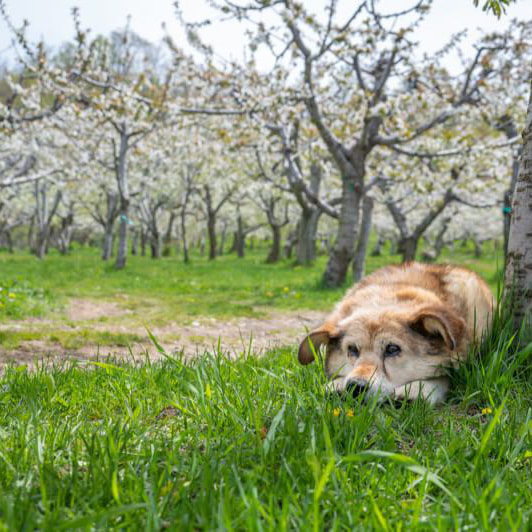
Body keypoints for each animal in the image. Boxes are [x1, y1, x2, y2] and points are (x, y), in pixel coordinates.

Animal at [300, 262, 494, 404]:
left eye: (392, 349)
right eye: (352, 349)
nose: (355, 386)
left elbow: (446, 376)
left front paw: (418, 389)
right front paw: (337, 384)